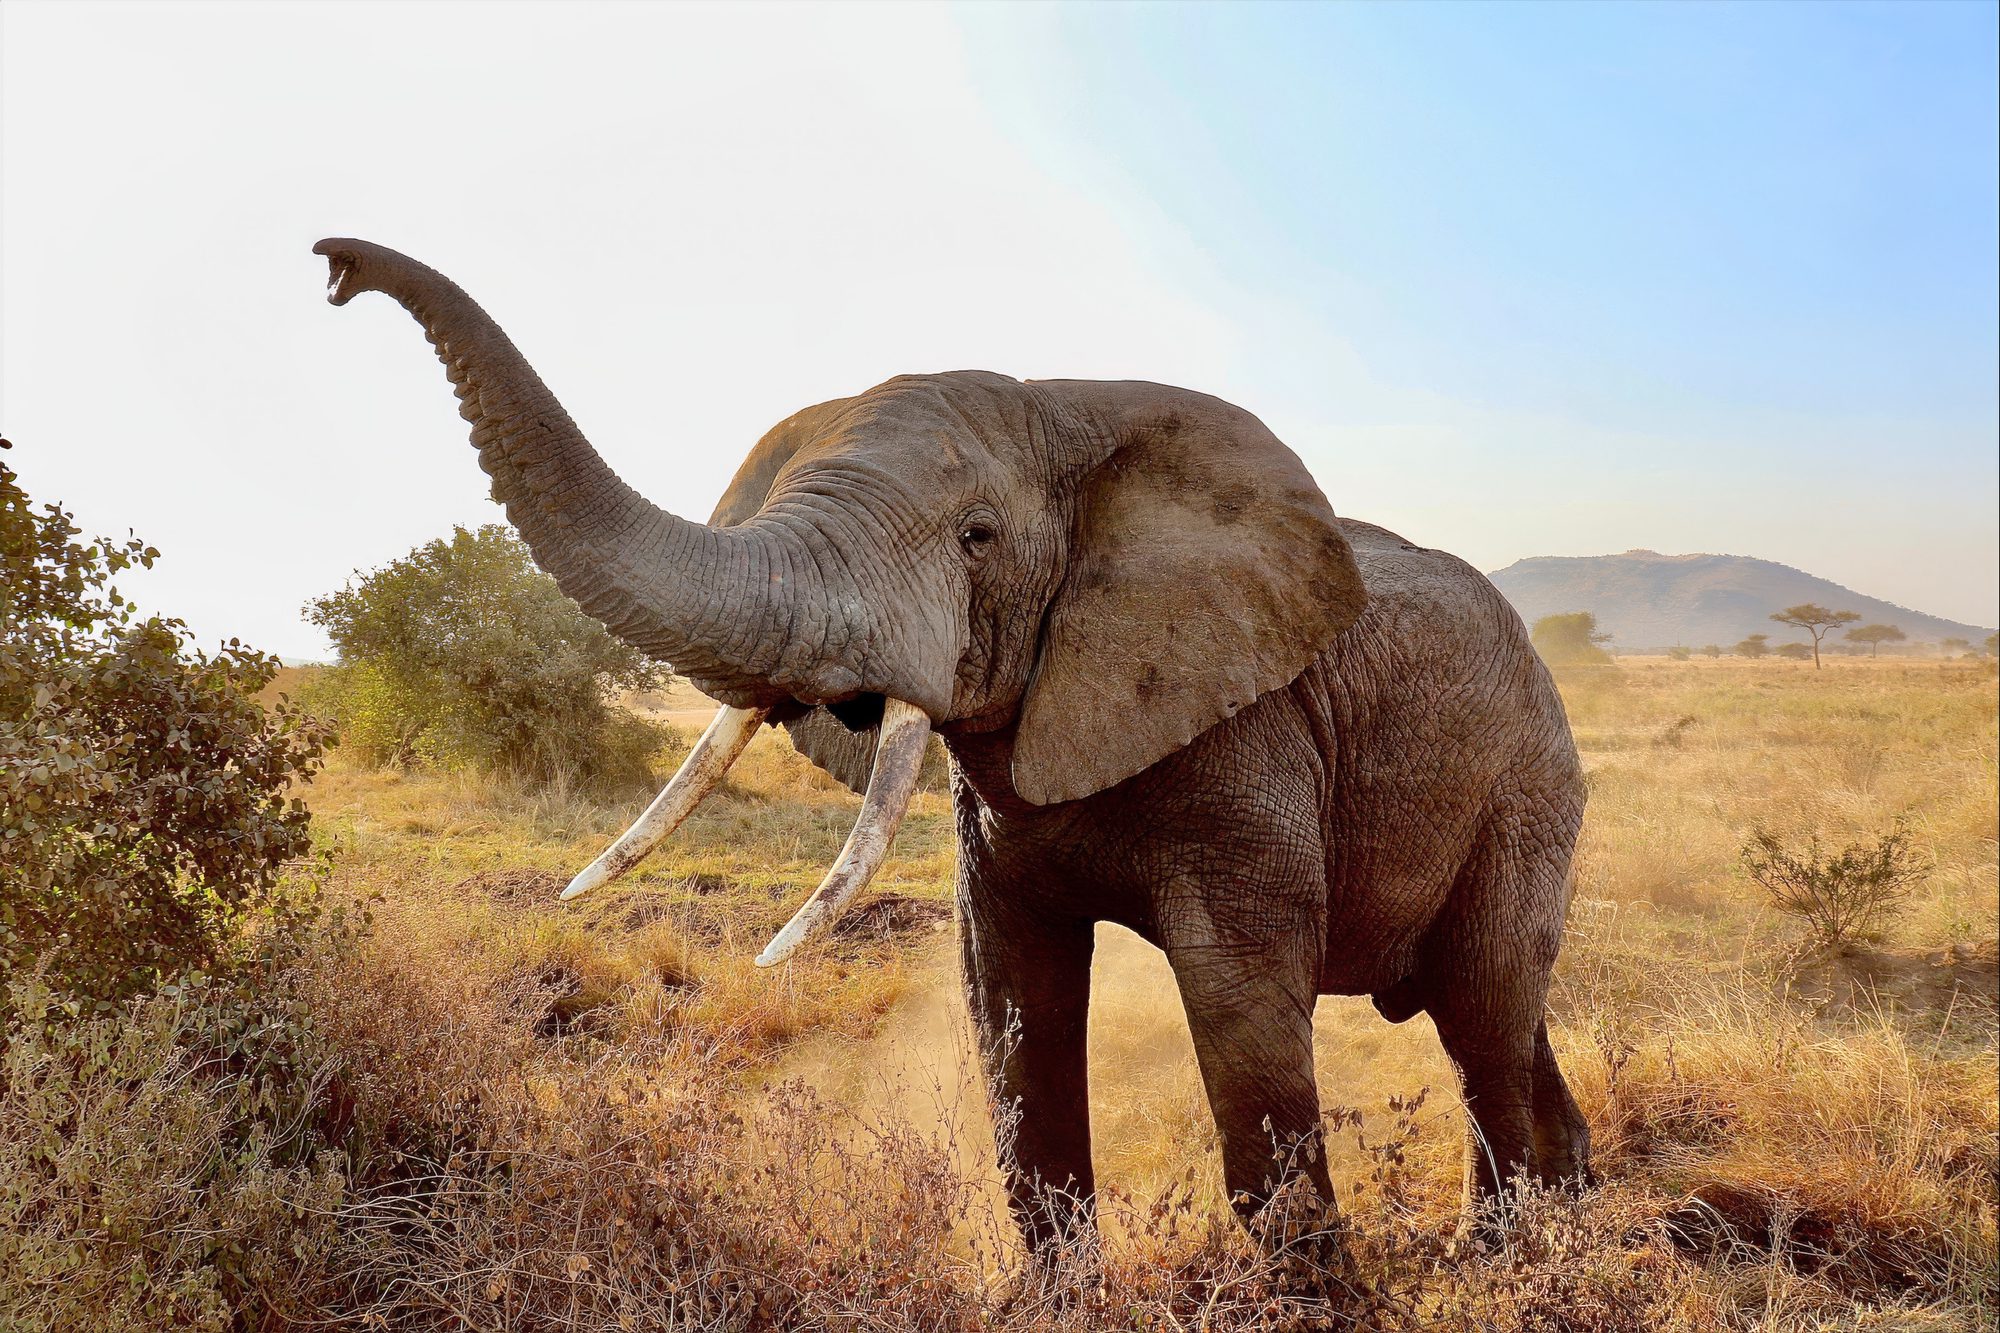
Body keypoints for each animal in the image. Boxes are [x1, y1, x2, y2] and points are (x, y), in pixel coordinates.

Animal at [312, 238, 1593, 1261]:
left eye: (977, 537)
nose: (333, 267)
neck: (1076, 414)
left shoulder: (1252, 730)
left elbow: (1238, 1006)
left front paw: (1307, 1293)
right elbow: (1011, 1000)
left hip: (1526, 783)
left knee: (1479, 1010)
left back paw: (1500, 1259)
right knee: (1493, 1010)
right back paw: (1564, 1205)